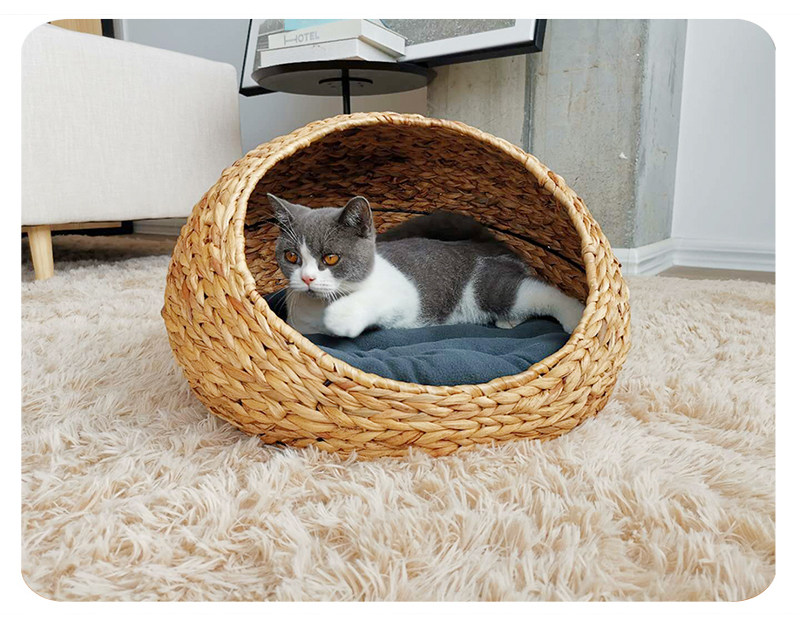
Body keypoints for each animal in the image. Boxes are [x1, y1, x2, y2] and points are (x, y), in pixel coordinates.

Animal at [268, 194, 585, 338]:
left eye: (331, 258)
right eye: (292, 257)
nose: (307, 279)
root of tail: (489, 243)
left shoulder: (405, 295)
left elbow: (377, 299)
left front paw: (342, 317)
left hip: (487, 285)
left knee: (536, 291)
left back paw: (575, 316)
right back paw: (508, 321)